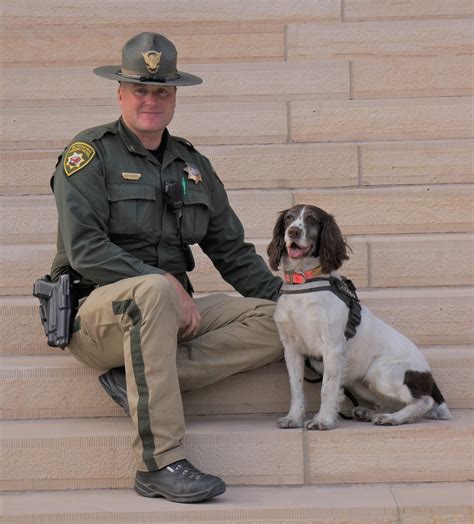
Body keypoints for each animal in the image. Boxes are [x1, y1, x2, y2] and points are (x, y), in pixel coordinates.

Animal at [266, 205, 452, 430]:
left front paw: (323, 420)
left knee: (424, 401)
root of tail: (429, 376)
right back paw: (369, 412)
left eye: (312, 219)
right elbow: (296, 389)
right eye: (288, 218)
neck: (304, 283)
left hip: (380, 372)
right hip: (360, 382)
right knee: (392, 402)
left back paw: (392, 418)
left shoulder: (333, 348)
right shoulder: (292, 349)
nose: (293, 231)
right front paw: (293, 418)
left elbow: (327, 388)